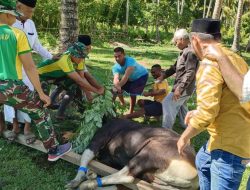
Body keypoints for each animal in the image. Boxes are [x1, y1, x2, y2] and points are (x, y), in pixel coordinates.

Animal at [65, 119, 198, 189]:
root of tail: (195, 175)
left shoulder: (99, 139)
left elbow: (85, 157)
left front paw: (74, 182)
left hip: (147, 154)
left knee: (126, 176)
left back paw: (86, 184)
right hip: (157, 182)